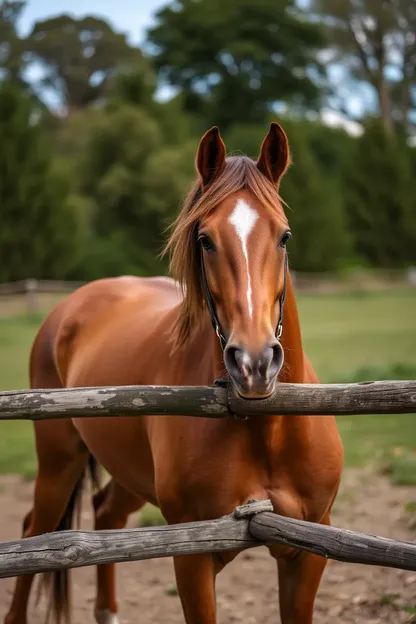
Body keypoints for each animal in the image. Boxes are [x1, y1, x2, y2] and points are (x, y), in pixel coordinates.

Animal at [4, 123, 344, 624]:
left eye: (284, 236)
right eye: (205, 239)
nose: (254, 364)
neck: (267, 429)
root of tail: (68, 310)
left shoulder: (307, 551)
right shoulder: (192, 554)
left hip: (128, 473)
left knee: (105, 515)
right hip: (57, 461)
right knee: (35, 534)